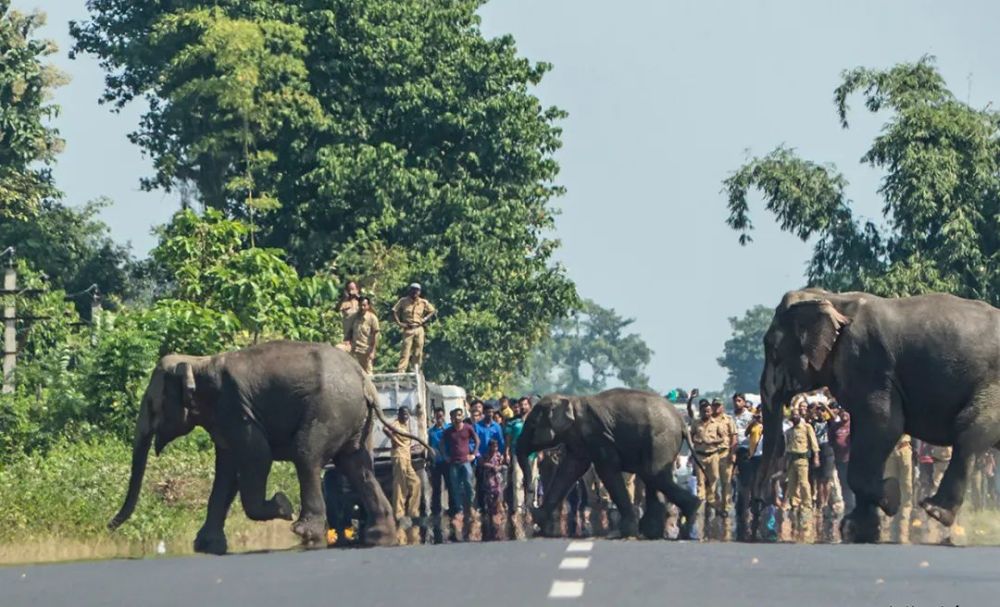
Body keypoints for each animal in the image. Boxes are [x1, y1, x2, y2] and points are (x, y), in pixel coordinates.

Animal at [108, 342, 430, 556]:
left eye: (153, 404)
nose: (110, 526)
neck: (198, 363)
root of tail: (365, 381)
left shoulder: (237, 411)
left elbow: (255, 458)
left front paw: (282, 506)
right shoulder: (224, 421)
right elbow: (226, 473)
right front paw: (205, 546)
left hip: (330, 410)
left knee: (307, 455)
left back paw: (305, 532)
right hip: (354, 420)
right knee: (356, 465)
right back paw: (378, 536)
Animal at [516, 388, 704, 540]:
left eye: (533, 424)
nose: (530, 491)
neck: (571, 400)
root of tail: (682, 423)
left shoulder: (598, 436)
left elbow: (606, 470)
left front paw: (626, 532)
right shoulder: (580, 440)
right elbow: (570, 469)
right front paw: (540, 523)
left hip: (661, 439)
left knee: (653, 474)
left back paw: (691, 516)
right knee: (652, 477)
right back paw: (654, 532)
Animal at [756, 288, 1000, 544]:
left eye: (772, 350)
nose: (761, 501)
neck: (832, 299)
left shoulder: (868, 363)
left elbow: (885, 426)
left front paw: (891, 497)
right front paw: (856, 531)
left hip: (992, 385)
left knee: (970, 430)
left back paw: (934, 510)